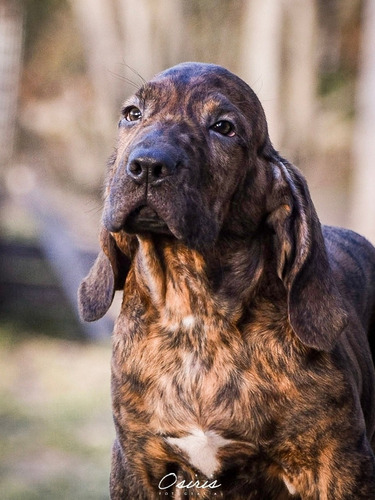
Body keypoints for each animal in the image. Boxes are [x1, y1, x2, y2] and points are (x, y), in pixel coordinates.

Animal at [78, 63, 375, 500]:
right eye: (133, 114)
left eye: (223, 127)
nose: (147, 164)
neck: (196, 317)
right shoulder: (137, 463)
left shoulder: (338, 464)